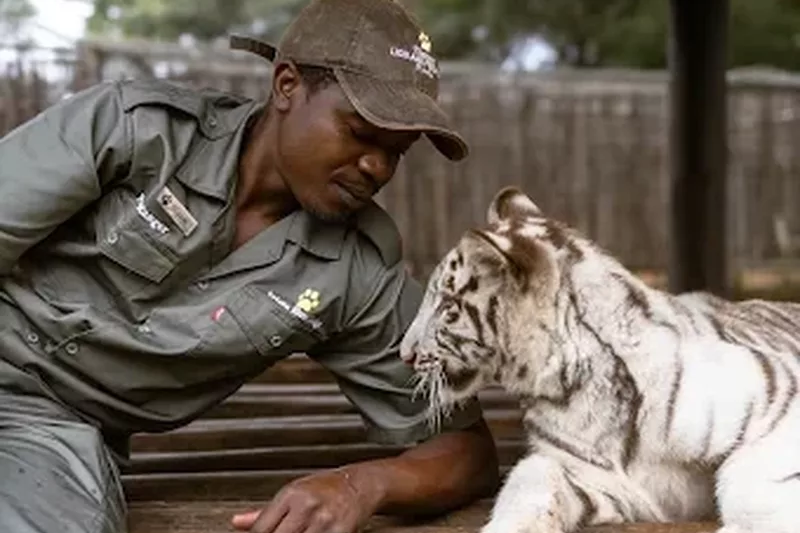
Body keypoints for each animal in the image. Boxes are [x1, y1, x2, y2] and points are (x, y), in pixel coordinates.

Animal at [400, 186, 800, 533]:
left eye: (447, 306)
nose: (404, 354)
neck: (569, 389)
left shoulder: (778, 395)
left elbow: (749, 476)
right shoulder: (601, 480)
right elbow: (529, 480)